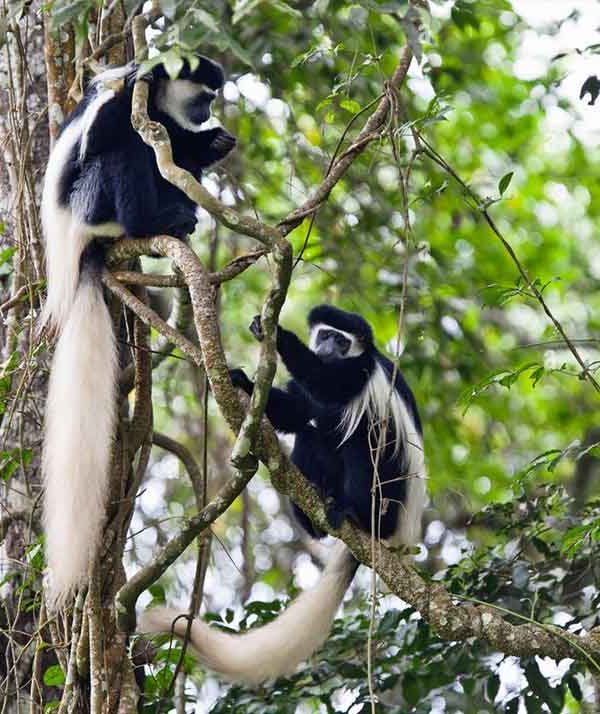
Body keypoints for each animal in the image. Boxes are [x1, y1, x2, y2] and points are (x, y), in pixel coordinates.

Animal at [41, 52, 234, 604]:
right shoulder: (128, 104)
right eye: (204, 95)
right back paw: (153, 220)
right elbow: (109, 130)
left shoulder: (167, 123)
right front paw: (138, 78)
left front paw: (215, 142)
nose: (208, 110)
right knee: (121, 155)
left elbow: (179, 150)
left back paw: (179, 214)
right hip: (90, 204)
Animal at [142, 304, 426, 684]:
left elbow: (327, 385)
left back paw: (354, 514)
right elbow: (297, 411)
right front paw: (241, 381)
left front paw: (277, 334)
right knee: (309, 434)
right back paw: (313, 519)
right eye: (325, 335)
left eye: (341, 341)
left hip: (389, 501)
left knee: (360, 444)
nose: (327, 349)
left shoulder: (360, 374)